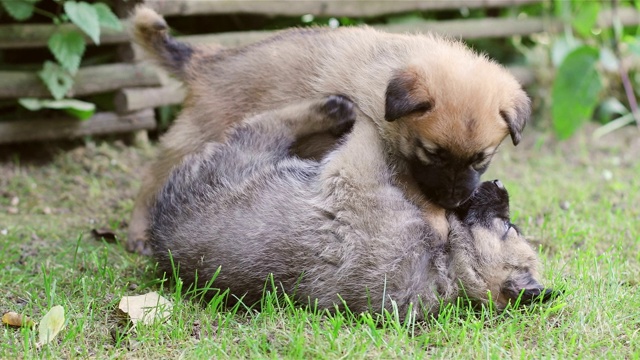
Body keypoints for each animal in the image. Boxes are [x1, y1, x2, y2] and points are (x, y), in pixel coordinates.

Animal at [126, 6, 528, 253]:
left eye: (480, 160)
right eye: (432, 153)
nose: (454, 200)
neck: (384, 83)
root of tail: (207, 60)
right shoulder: (396, 160)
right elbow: (417, 193)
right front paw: (439, 223)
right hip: (198, 132)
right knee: (150, 180)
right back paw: (138, 232)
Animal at [149, 95, 552, 318]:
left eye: (509, 228)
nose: (499, 185)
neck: (447, 267)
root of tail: (157, 232)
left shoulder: (353, 174)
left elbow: (367, 136)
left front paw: (369, 116)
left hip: (243, 152)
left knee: (269, 122)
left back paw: (334, 109)